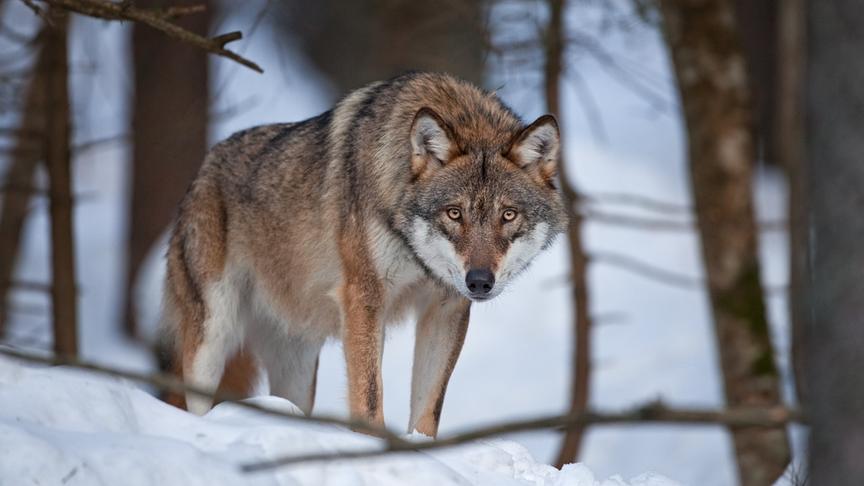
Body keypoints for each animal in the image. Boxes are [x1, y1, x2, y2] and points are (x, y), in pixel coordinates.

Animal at [162, 72, 567, 437]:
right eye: (454, 213)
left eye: (508, 215)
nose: (479, 282)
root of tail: (202, 172)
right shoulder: (365, 297)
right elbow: (369, 396)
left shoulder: (446, 308)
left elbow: (429, 407)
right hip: (213, 337)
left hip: (297, 366)